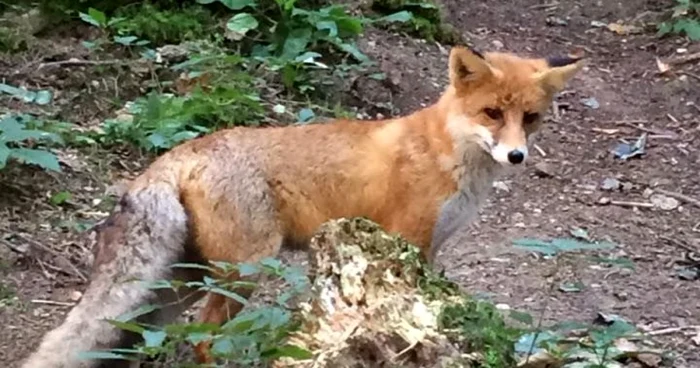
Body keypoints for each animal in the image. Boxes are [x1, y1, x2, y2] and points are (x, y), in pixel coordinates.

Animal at [21, 46, 584, 368]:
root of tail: (182, 151)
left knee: (139, 335)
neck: (450, 154)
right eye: (491, 113)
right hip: (244, 271)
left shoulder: (429, 252)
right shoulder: (408, 240)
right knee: (203, 342)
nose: (516, 156)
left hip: (183, 282)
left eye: (530, 119)